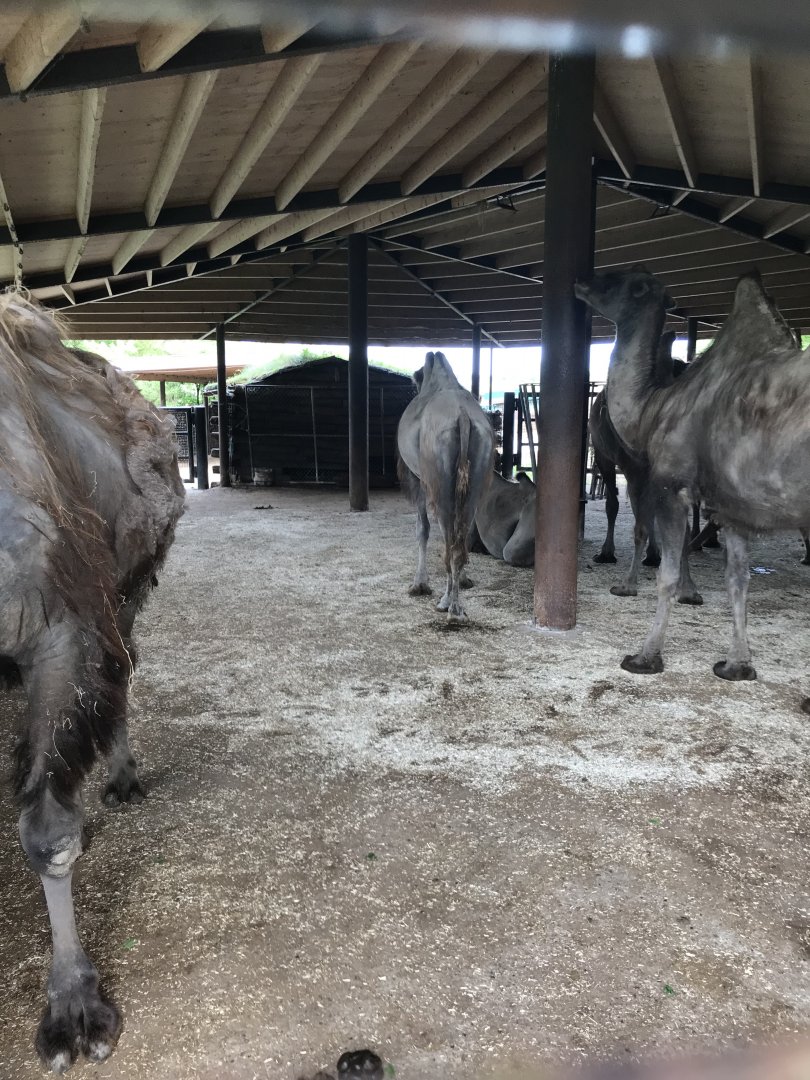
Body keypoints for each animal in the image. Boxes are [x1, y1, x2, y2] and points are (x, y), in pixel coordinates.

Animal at [397, 351, 494, 620]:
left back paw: (447, 602)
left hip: (441, 485)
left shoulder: (419, 479)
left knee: (449, 535)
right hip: (474, 482)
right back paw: (456, 605)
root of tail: (463, 417)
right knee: (461, 536)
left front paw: (419, 584)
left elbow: (423, 528)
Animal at [575, 265, 810, 710]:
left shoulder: (672, 484)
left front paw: (644, 656)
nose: (584, 279)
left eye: (625, 281)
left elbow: (666, 572)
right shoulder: (731, 507)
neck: (654, 407)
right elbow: (738, 580)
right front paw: (737, 666)